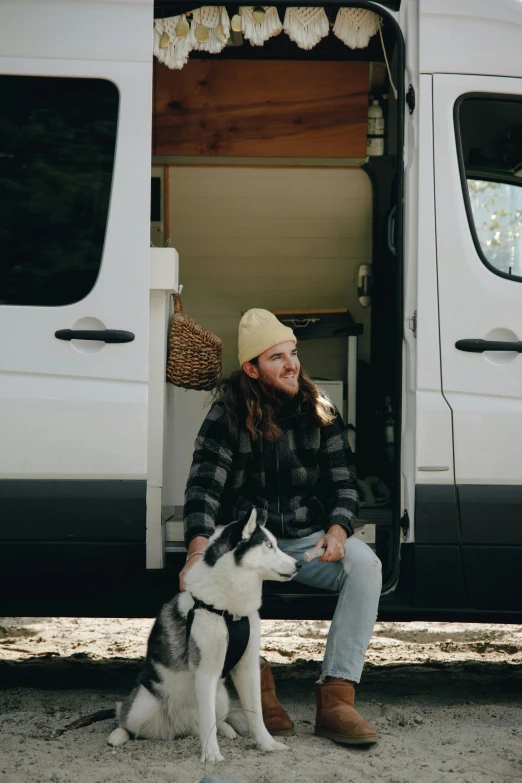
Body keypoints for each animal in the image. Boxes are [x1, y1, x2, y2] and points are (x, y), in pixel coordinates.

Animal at [107, 512, 298, 764]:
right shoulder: (206, 672)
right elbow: (208, 720)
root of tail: (178, 727)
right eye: (268, 545)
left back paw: (226, 729)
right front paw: (212, 755)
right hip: (142, 706)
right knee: (123, 716)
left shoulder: (248, 669)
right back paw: (118, 734)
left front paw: (268, 744)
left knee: (211, 721)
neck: (230, 612)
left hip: (221, 697)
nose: (299, 564)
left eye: (275, 544)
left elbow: (256, 713)